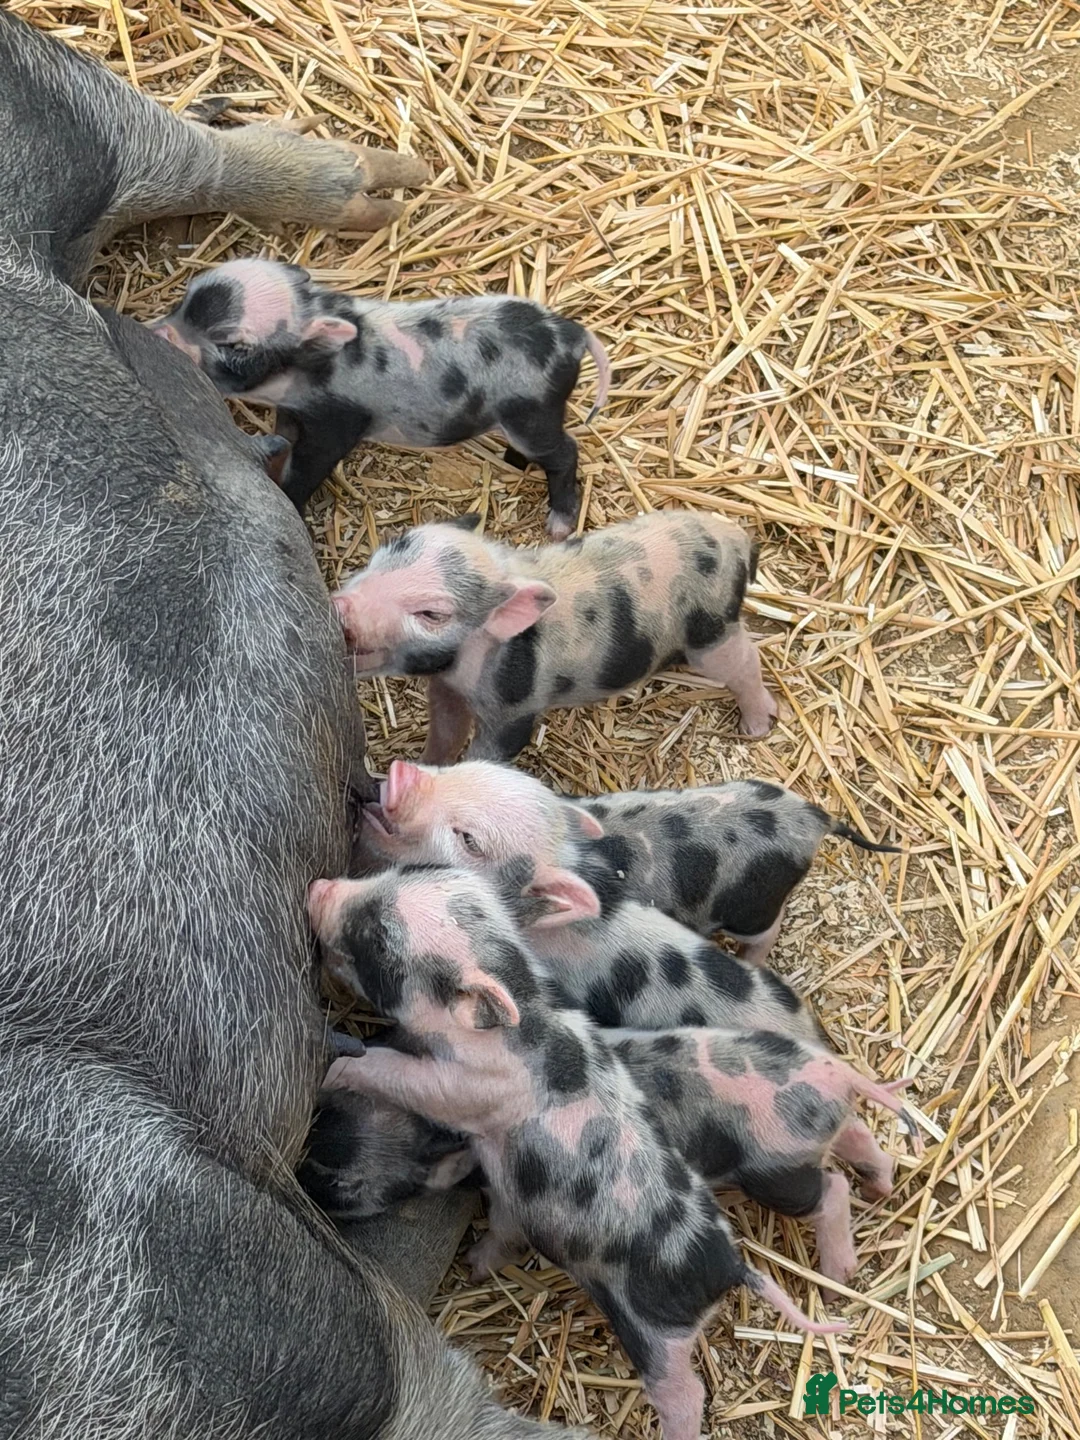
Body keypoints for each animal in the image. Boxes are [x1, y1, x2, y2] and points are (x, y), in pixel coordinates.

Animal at [151, 257, 611, 536]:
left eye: (235, 346)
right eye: (185, 298)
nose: (160, 334)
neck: (310, 372)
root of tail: (573, 334)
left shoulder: (338, 422)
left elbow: (308, 467)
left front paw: (288, 497)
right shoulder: (293, 411)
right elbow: (283, 439)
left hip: (531, 413)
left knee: (567, 449)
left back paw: (558, 526)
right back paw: (513, 464)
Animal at [333, 509, 776, 764]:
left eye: (431, 614)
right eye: (376, 558)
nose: (340, 607)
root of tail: (738, 539)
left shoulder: (515, 711)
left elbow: (490, 755)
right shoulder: (447, 689)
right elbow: (445, 734)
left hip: (711, 630)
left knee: (746, 659)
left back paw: (758, 727)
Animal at [358, 759, 899, 963]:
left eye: (469, 840)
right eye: (458, 766)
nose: (402, 771)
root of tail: (814, 817)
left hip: (752, 908)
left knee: (768, 929)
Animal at [602, 1028, 913, 1288]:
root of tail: (840, 1075)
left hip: (778, 1178)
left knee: (835, 1189)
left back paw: (833, 1284)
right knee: (858, 1136)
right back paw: (879, 1189)